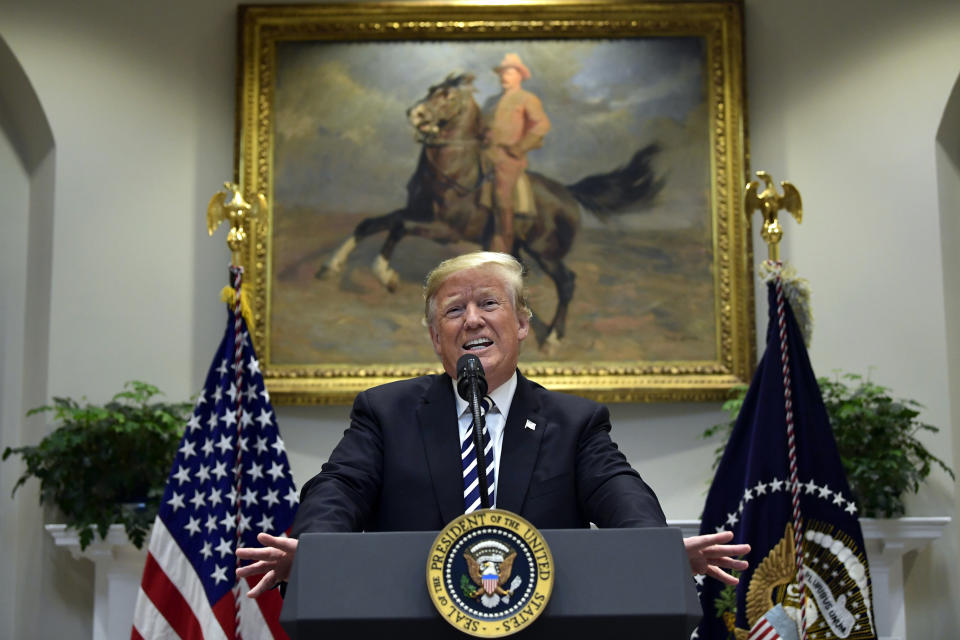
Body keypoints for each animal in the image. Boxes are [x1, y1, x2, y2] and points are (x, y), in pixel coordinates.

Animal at [316, 74, 660, 350]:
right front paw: (332, 266)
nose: (415, 113)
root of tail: (568, 191)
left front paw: (385, 274)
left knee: (567, 283)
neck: (456, 171)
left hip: (546, 252)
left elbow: (398, 226)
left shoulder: (444, 230)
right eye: (431, 90)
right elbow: (370, 224)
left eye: (448, 96)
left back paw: (552, 337)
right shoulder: (418, 212)